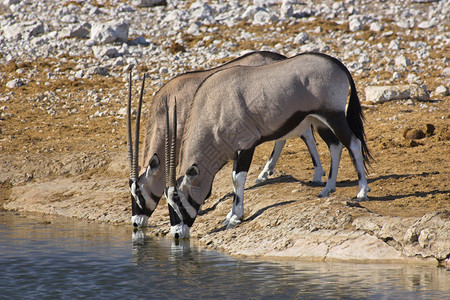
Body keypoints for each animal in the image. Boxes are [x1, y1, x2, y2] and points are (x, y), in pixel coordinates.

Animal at [126, 51, 330, 229]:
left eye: (139, 193)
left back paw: (317, 175)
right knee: (286, 137)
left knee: (306, 133)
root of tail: (281, 58)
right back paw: (265, 173)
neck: (168, 106)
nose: (136, 222)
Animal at [163, 52, 370, 239]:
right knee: (335, 146)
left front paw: (235, 217)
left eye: (179, 200)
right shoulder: (236, 151)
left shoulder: (246, 145)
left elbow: (237, 179)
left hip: (333, 115)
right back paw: (328, 189)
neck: (215, 107)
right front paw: (230, 216)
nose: (176, 233)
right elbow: (234, 180)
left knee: (353, 142)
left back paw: (361, 191)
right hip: (319, 121)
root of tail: (338, 64)